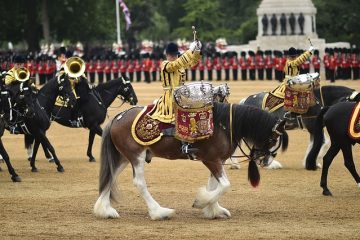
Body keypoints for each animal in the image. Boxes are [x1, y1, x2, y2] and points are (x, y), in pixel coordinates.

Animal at [94, 82, 288, 219]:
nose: (265, 161)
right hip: (136, 157)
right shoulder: (212, 160)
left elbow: (214, 185)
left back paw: (104, 211)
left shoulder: (215, 160)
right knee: (139, 183)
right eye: (273, 138)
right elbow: (224, 185)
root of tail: (118, 117)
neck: (223, 124)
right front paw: (202, 202)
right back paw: (159, 212)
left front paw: (214, 210)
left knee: (110, 177)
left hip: (123, 158)